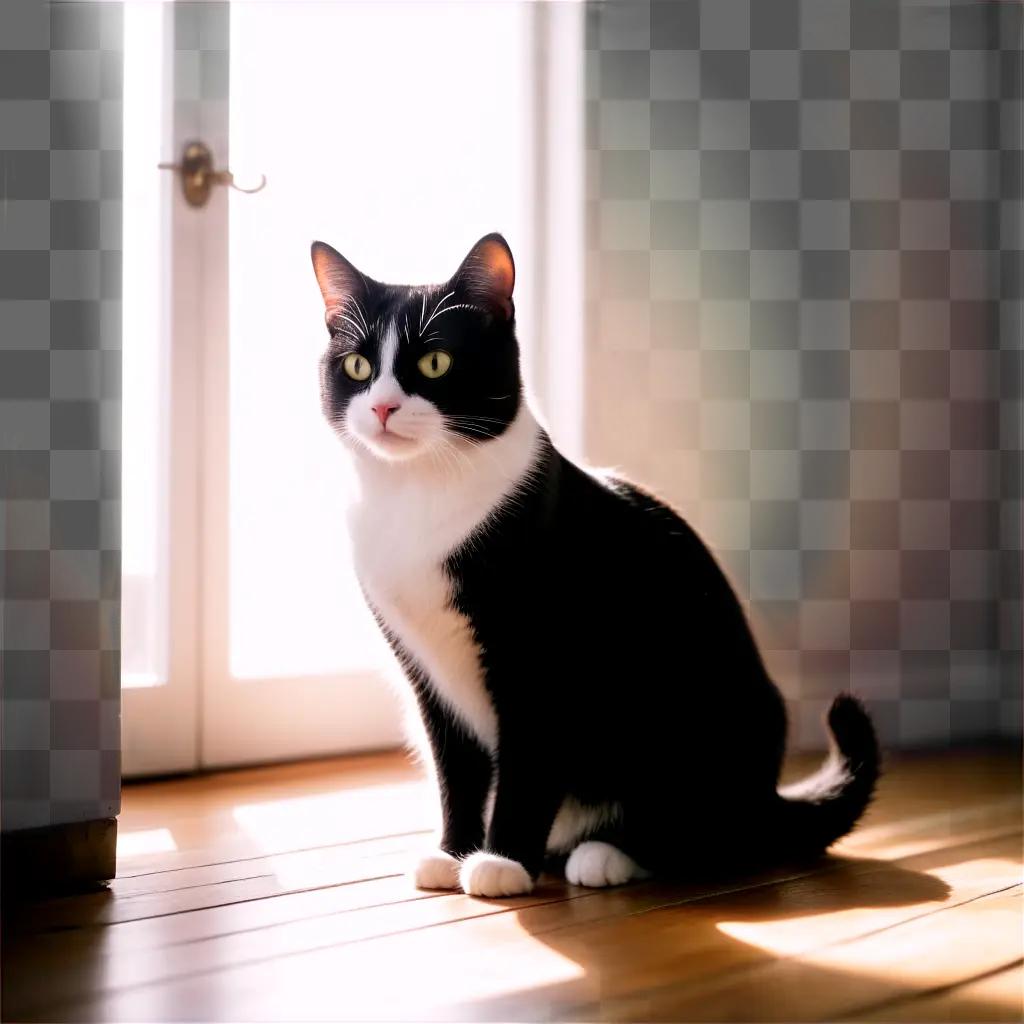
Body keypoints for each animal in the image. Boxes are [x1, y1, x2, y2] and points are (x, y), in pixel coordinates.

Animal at [307, 232, 876, 897]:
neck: (416, 496)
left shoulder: (545, 660)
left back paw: (610, 853)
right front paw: (452, 853)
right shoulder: (426, 672)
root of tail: (767, 797)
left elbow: (530, 760)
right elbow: (456, 768)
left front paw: (503, 862)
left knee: (706, 830)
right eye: (358, 367)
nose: (383, 409)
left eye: (435, 364)